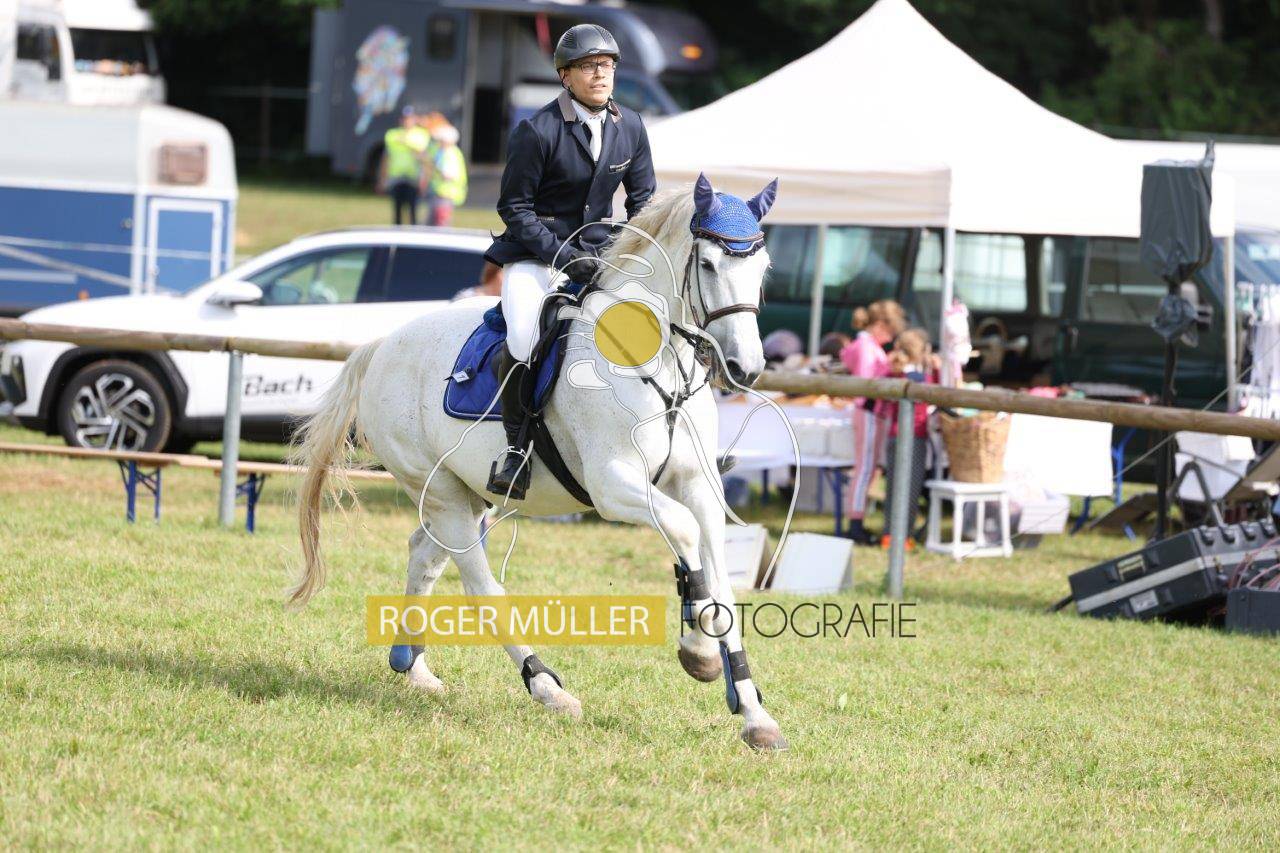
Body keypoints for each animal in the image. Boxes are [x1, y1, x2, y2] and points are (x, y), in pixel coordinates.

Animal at [287, 174, 790, 750]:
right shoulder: (612, 485)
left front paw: (753, 712)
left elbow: (718, 576)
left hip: (464, 492)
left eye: (762, 267)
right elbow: (684, 533)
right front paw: (700, 655)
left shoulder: (699, 485)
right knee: (480, 584)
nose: (745, 369)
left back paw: (412, 666)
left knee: (424, 555)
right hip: (443, 493)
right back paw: (545, 686)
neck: (656, 362)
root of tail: (381, 346)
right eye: (707, 265)